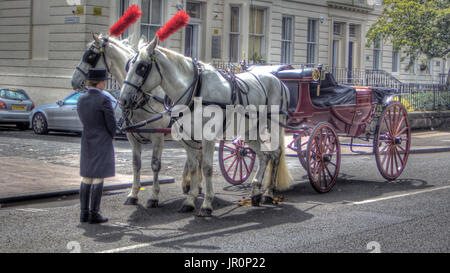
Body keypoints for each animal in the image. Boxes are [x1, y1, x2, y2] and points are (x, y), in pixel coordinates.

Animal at [71, 34, 201, 207]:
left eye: (91, 56)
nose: (73, 81)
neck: (144, 97)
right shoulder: (132, 137)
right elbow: (136, 164)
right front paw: (133, 194)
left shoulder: (157, 137)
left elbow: (155, 165)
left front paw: (154, 196)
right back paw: (191, 185)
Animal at [119, 36, 292, 216]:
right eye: (128, 65)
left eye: (142, 67)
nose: (123, 99)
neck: (195, 91)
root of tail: (279, 81)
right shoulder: (187, 139)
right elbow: (194, 167)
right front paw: (190, 200)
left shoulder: (205, 138)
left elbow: (207, 168)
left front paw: (207, 204)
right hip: (249, 131)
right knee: (264, 156)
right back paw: (256, 192)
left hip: (274, 126)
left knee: (275, 154)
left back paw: (269, 193)